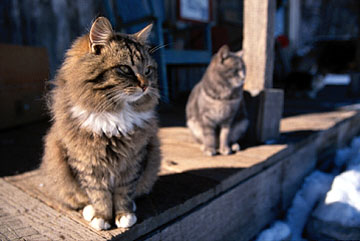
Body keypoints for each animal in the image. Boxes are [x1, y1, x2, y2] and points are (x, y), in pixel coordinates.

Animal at [40, 17, 161, 230]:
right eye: (125, 69)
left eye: (148, 70)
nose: (146, 85)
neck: (115, 114)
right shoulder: (87, 162)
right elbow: (99, 195)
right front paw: (102, 218)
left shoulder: (133, 159)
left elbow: (124, 192)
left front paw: (124, 215)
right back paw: (90, 211)